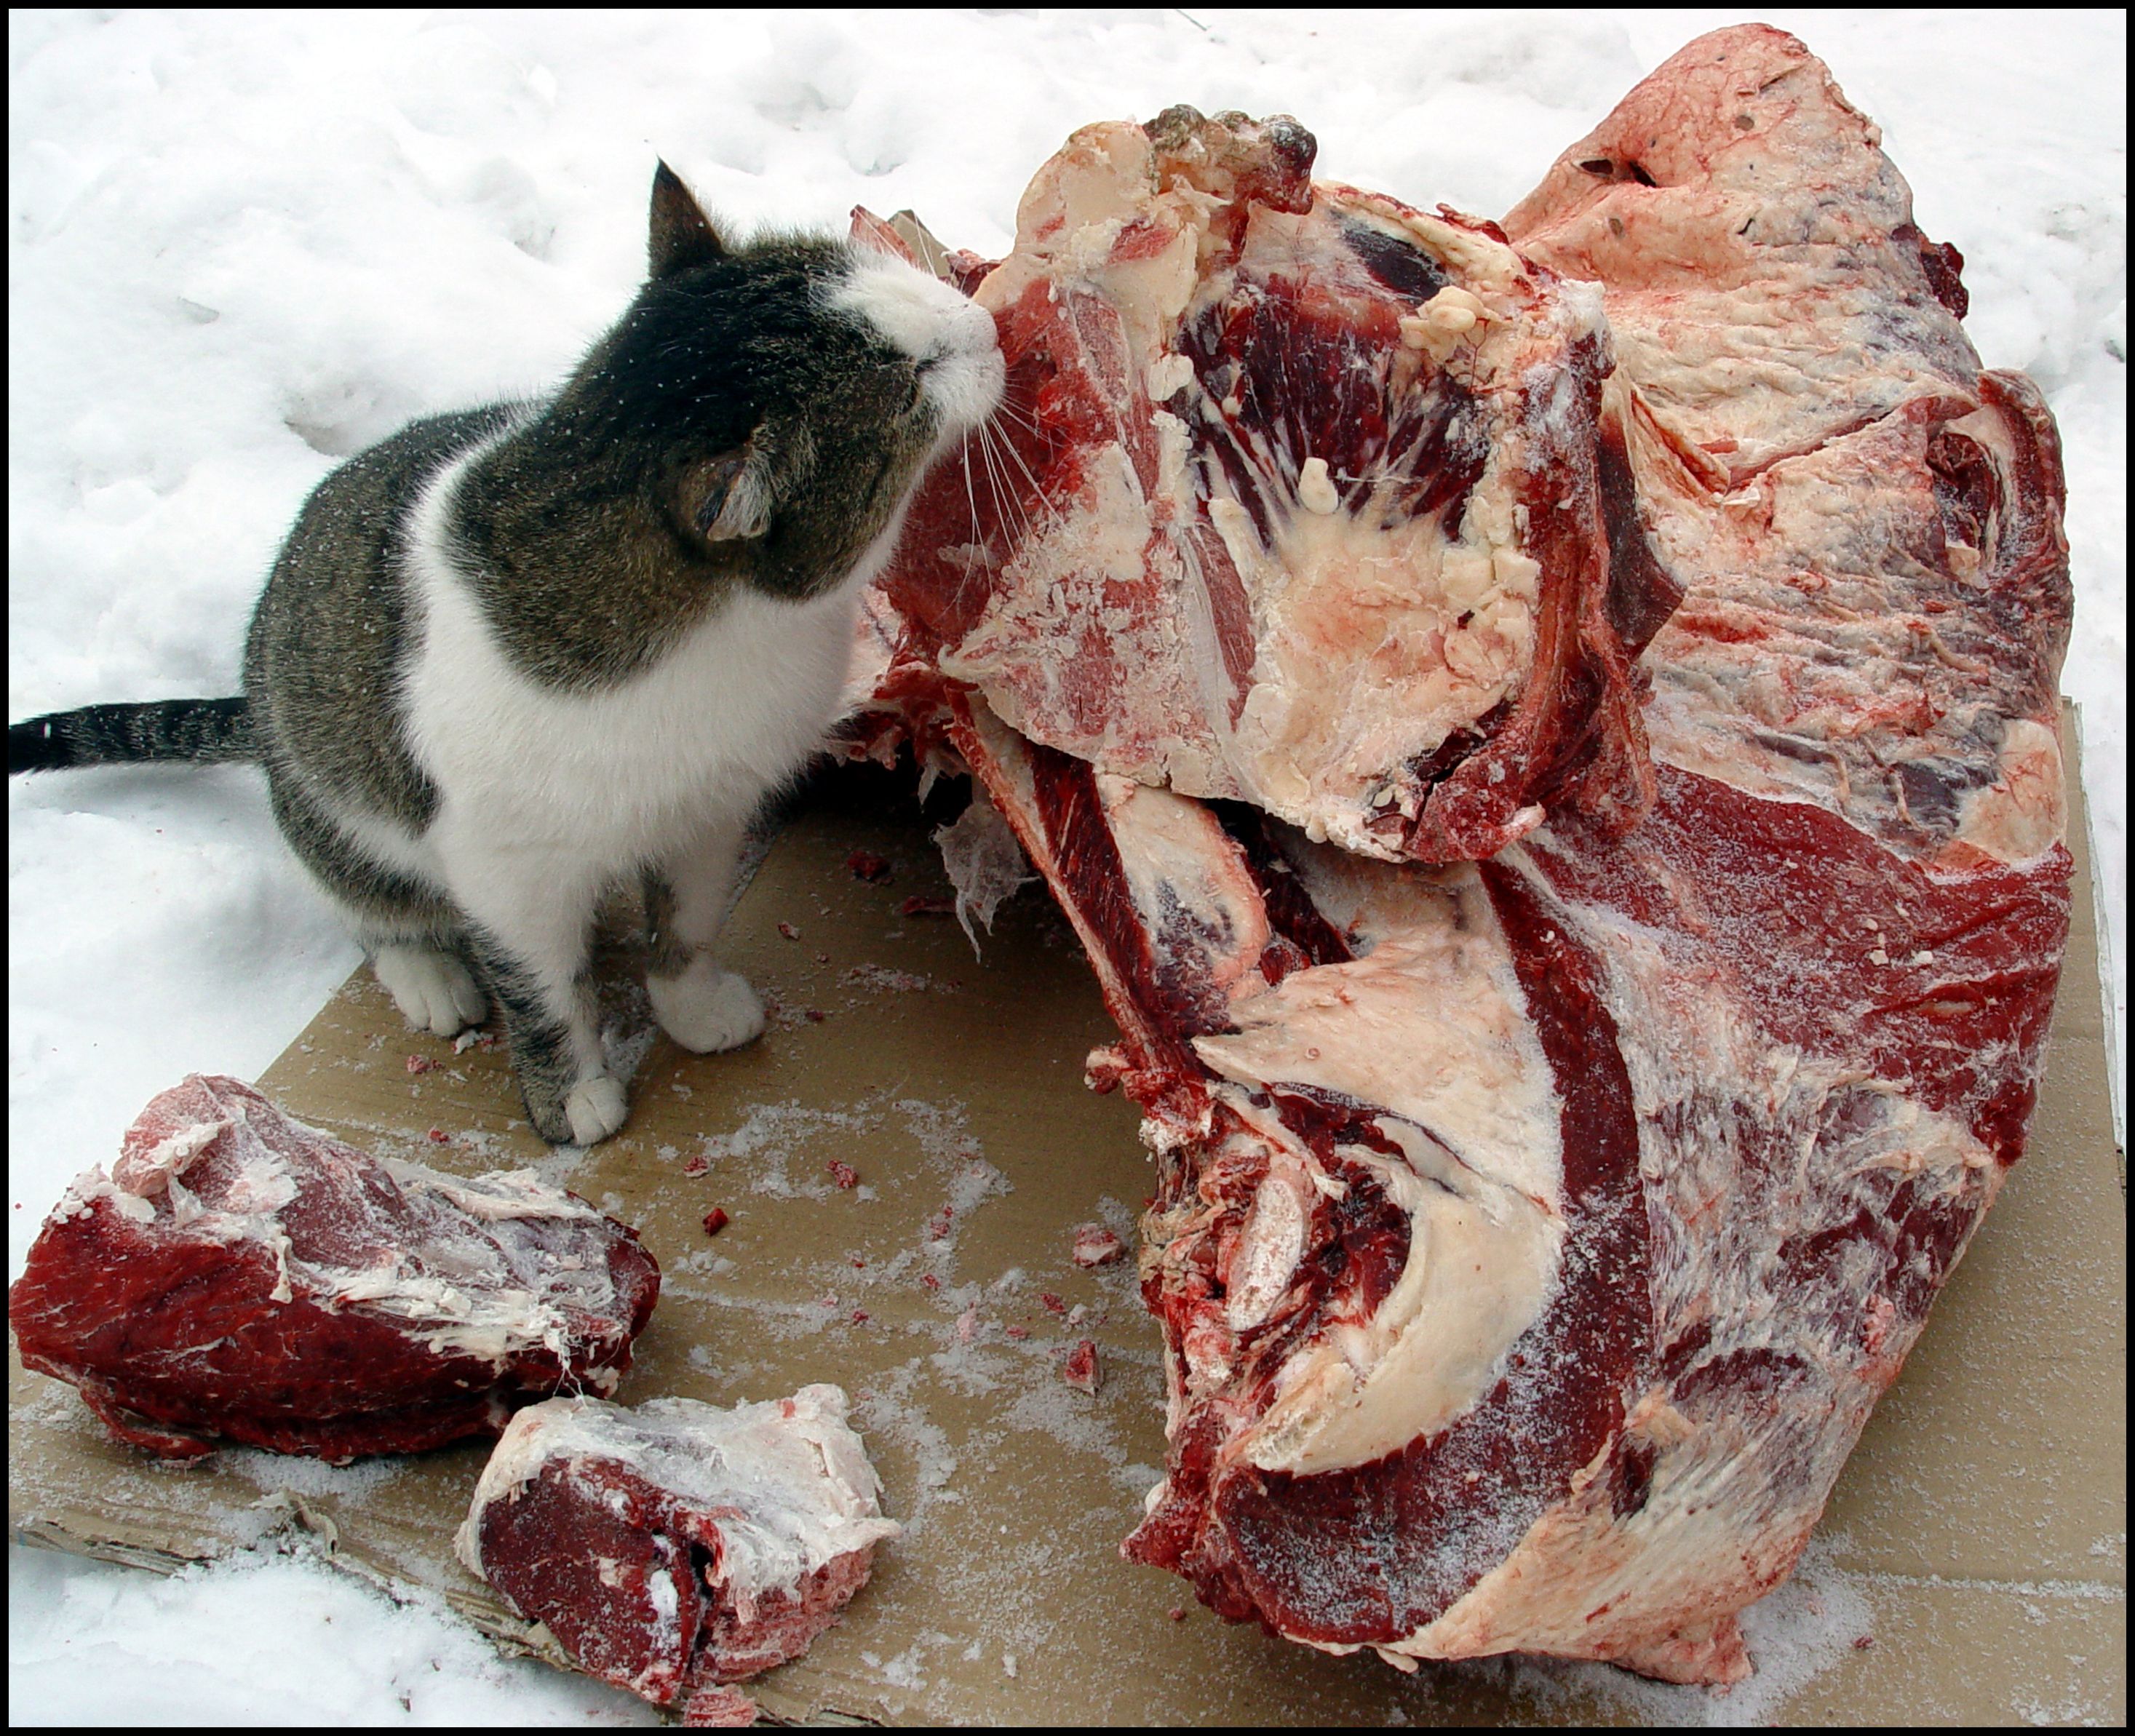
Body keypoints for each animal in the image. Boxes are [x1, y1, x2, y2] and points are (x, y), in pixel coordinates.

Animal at [10, 162, 1004, 1146]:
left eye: (886, 275)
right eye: (912, 381)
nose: (986, 323)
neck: (729, 645)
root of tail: (254, 695)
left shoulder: (708, 809)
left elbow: (686, 921)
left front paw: (694, 1007)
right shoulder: (504, 867)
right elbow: (538, 987)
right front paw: (569, 1096)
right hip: (334, 803)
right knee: (365, 901)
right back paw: (429, 976)